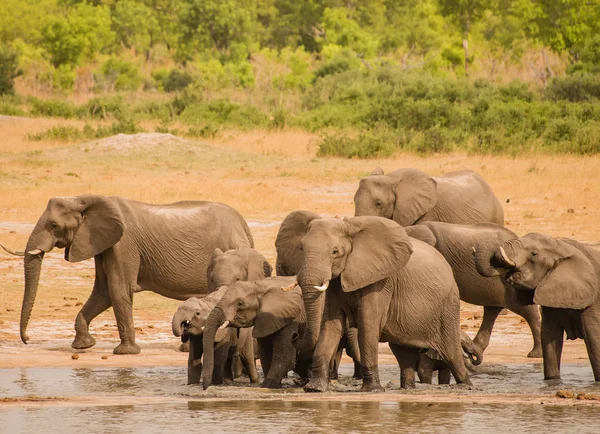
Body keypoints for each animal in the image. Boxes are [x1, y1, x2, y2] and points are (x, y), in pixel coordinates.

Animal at [0, 195, 253, 354]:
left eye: (53, 225)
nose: (27, 340)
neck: (84, 199)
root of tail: (244, 224)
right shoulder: (103, 244)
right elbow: (102, 292)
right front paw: (83, 346)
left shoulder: (123, 244)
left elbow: (118, 289)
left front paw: (125, 353)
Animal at [274, 211, 472, 394]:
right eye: (301, 248)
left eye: (335, 252)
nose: (294, 335)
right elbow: (331, 325)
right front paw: (315, 389)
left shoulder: (381, 281)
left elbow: (367, 325)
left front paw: (372, 390)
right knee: (404, 354)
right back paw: (407, 389)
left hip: (448, 306)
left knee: (452, 354)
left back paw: (466, 386)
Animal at [474, 232, 600, 382]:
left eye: (534, 253)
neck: (564, 247)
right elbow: (549, 337)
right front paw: (553, 381)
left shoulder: (594, 299)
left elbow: (593, 338)